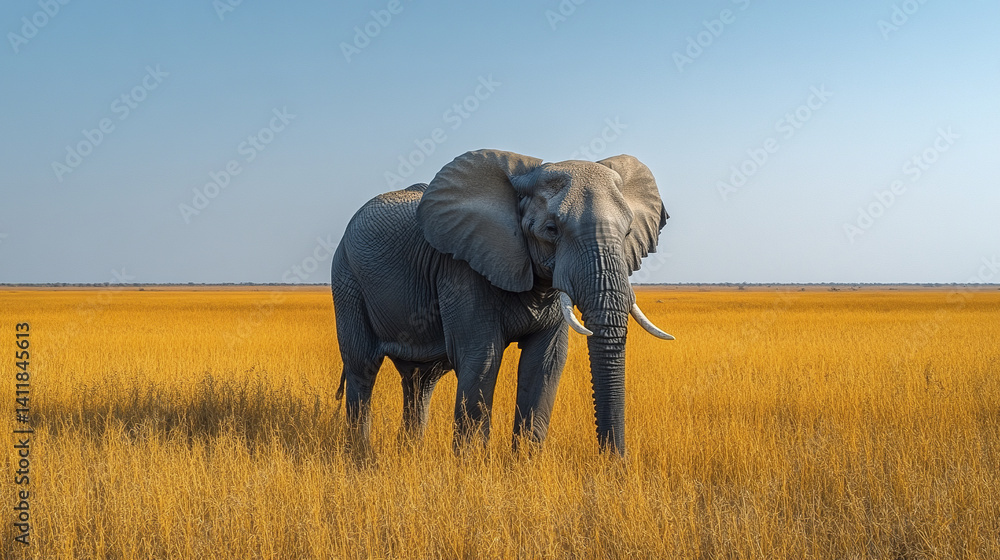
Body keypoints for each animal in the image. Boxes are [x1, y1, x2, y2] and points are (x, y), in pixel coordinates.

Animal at [330, 149, 672, 455]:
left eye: (628, 232)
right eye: (551, 230)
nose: (612, 462)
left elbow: (545, 362)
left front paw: (524, 467)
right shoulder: (462, 267)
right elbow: (482, 357)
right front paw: (472, 470)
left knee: (421, 380)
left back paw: (411, 453)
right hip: (347, 278)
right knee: (362, 366)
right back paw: (361, 458)